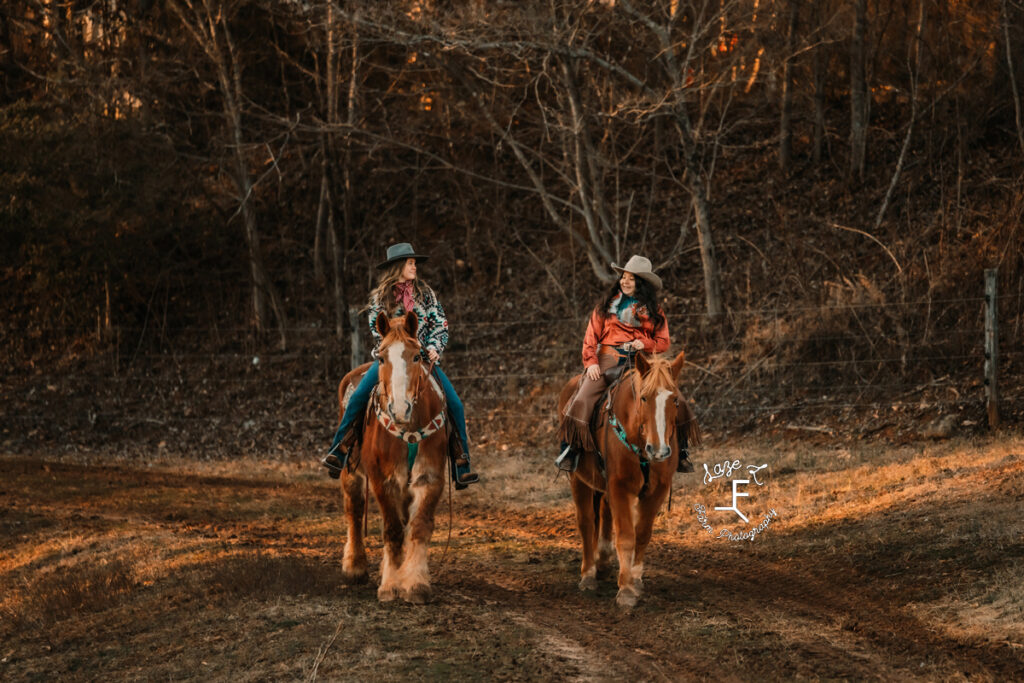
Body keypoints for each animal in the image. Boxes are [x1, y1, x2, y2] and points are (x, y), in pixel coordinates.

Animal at [335, 311, 448, 602]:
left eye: (417, 356)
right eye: (382, 358)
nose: (399, 409)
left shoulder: (429, 477)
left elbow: (419, 526)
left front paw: (415, 583)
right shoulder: (382, 479)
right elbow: (392, 529)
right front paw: (390, 585)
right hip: (350, 470)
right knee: (354, 508)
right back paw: (354, 566)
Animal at [557, 352, 692, 610]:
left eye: (675, 401)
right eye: (644, 397)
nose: (659, 450)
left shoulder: (657, 490)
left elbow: (643, 533)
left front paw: (635, 580)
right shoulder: (620, 486)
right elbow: (627, 537)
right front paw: (626, 590)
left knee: (604, 513)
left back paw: (603, 561)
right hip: (578, 480)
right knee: (586, 522)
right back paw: (588, 574)